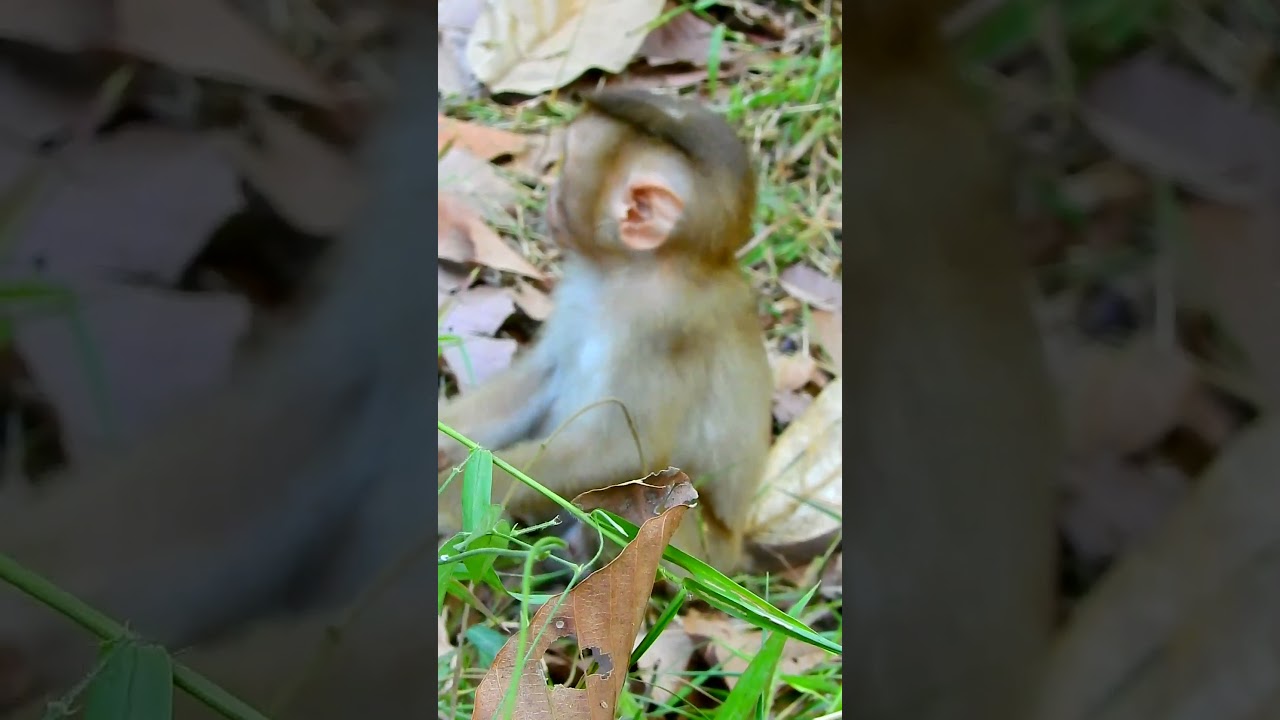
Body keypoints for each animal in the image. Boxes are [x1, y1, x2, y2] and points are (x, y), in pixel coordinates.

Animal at [436, 88, 775, 575]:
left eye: (563, 164)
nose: (545, 195)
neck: (632, 271)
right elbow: (542, 377)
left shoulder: (659, 331)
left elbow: (621, 452)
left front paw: (444, 501)